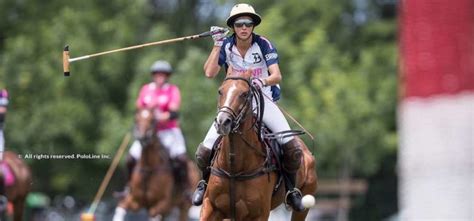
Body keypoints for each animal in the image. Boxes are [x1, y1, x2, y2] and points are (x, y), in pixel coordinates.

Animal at [200, 71, 318, 221]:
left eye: (244, 94)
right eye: (220, 91)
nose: (222, 122)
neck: (235, 169)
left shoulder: (259, 213)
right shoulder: (210, 206)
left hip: (302, 206)